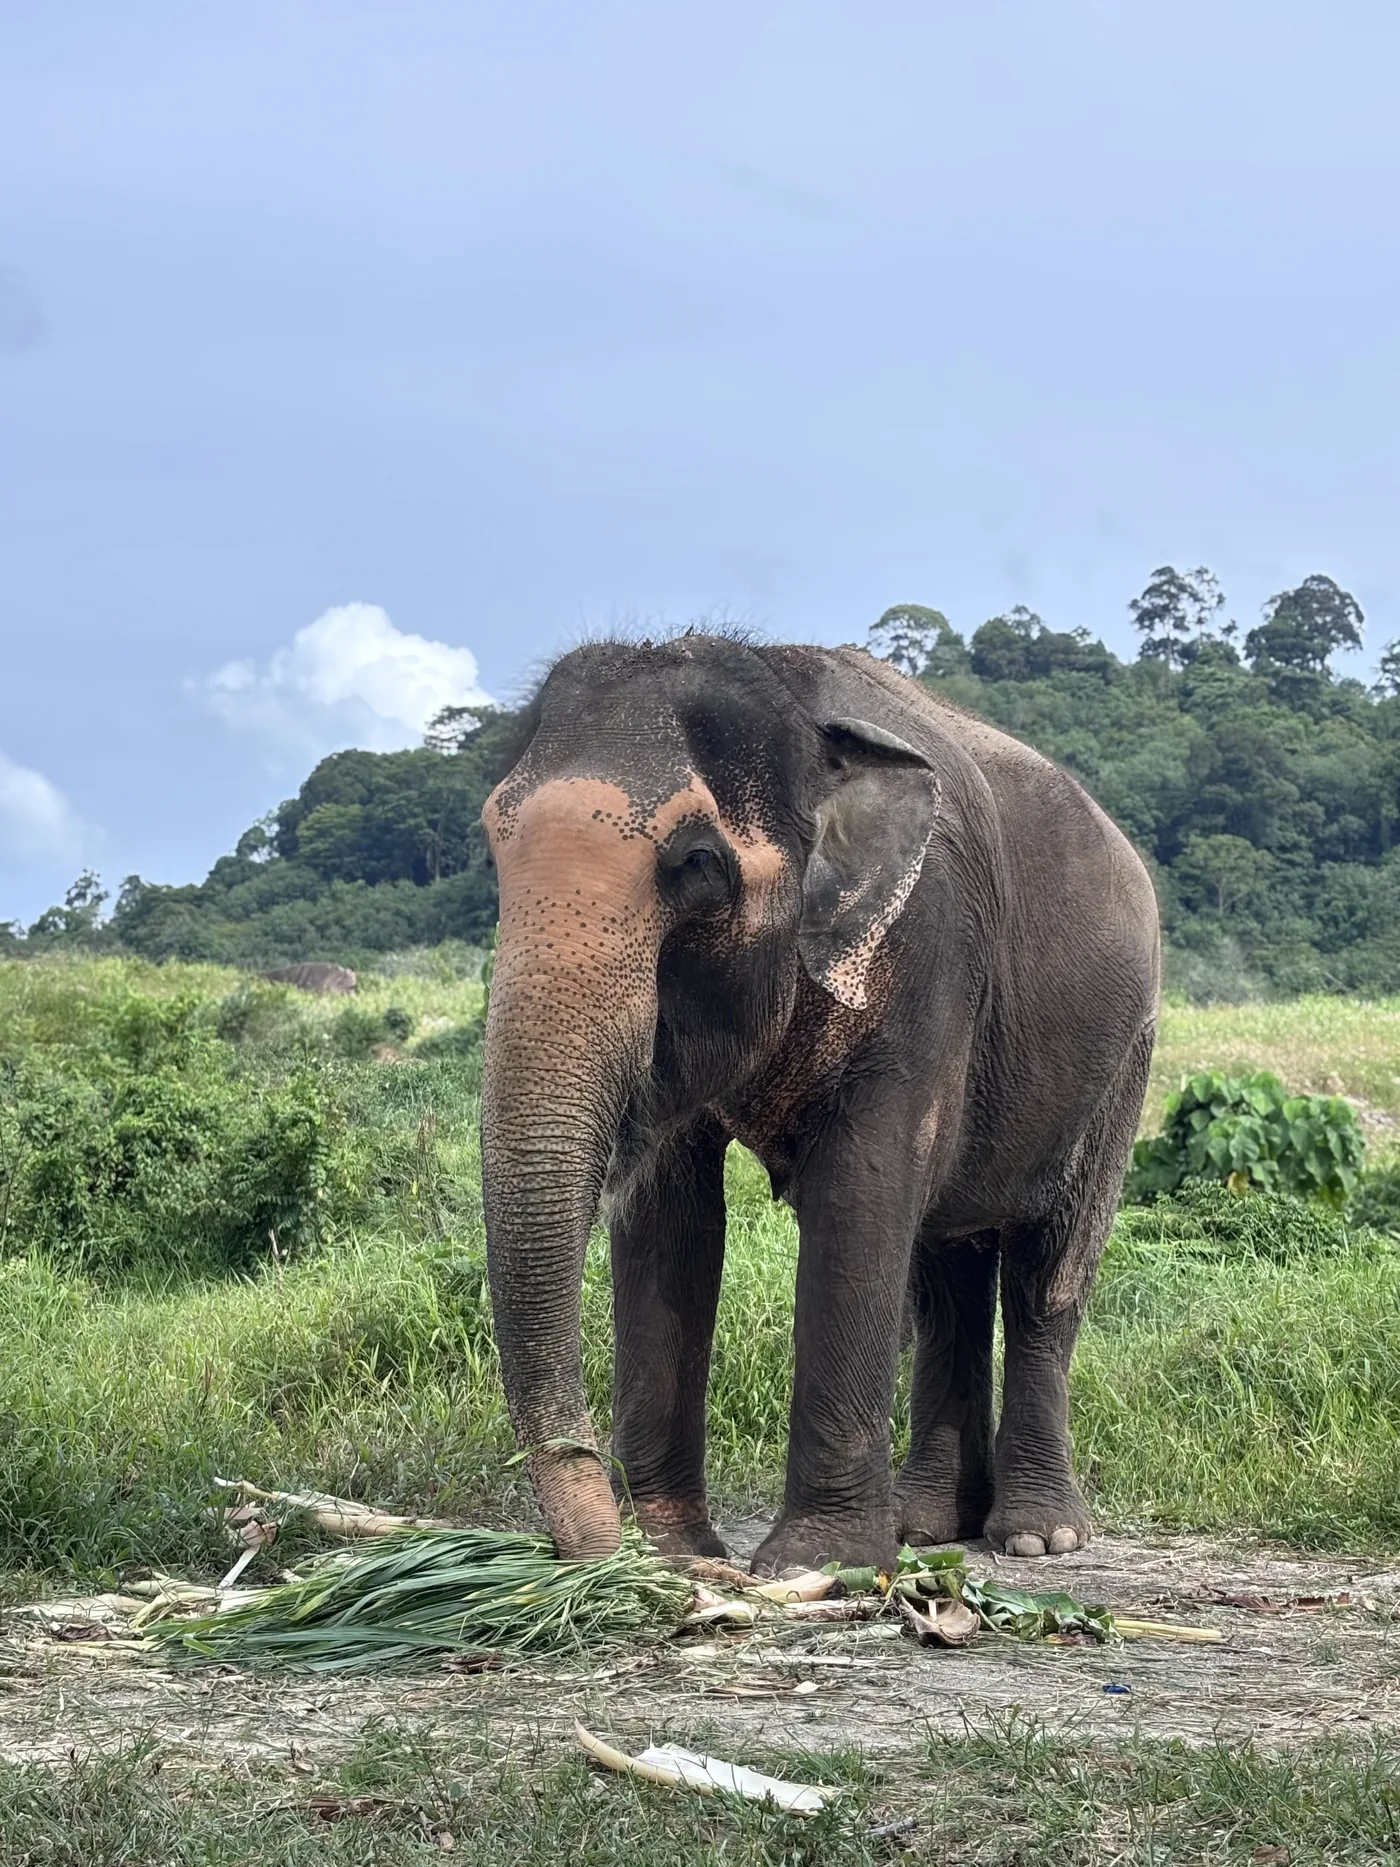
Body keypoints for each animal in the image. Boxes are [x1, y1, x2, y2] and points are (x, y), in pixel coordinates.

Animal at [479, 633, 1159, 1574]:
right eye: (491, 845)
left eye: (697, 864)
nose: (594, 1550)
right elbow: (671, 1220)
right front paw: (678, 1556)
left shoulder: (928, 948)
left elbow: (860, 1190)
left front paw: (816, 1565)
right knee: (943, 1273)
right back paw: (926, 1526)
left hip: (1123, 1060)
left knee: (1045, 1269)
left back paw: (1034, 1535)